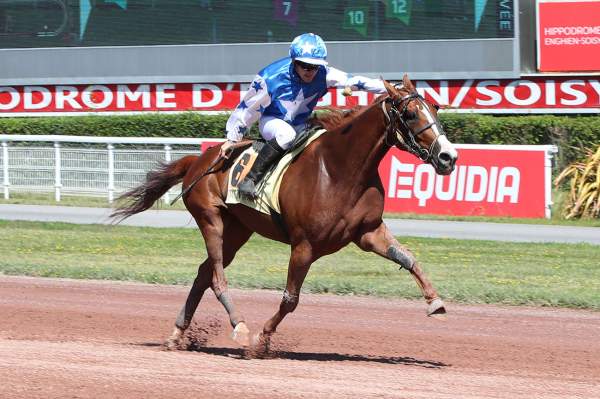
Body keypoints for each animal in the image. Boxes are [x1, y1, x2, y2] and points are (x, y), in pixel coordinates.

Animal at [112, 75, 458, 350]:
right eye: (411, 114)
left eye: (435, 108)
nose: (448, 156)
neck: (340, 169)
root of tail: (199, 160)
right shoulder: (304, 245)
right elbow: (290, 299)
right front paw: (261, 339)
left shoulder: (368, 231)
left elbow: (408, 258)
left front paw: (435, 301)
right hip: (210, 219)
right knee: (217, 276)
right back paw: (239, 326)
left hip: (238, 229)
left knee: (203, 273)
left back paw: (176, 334)